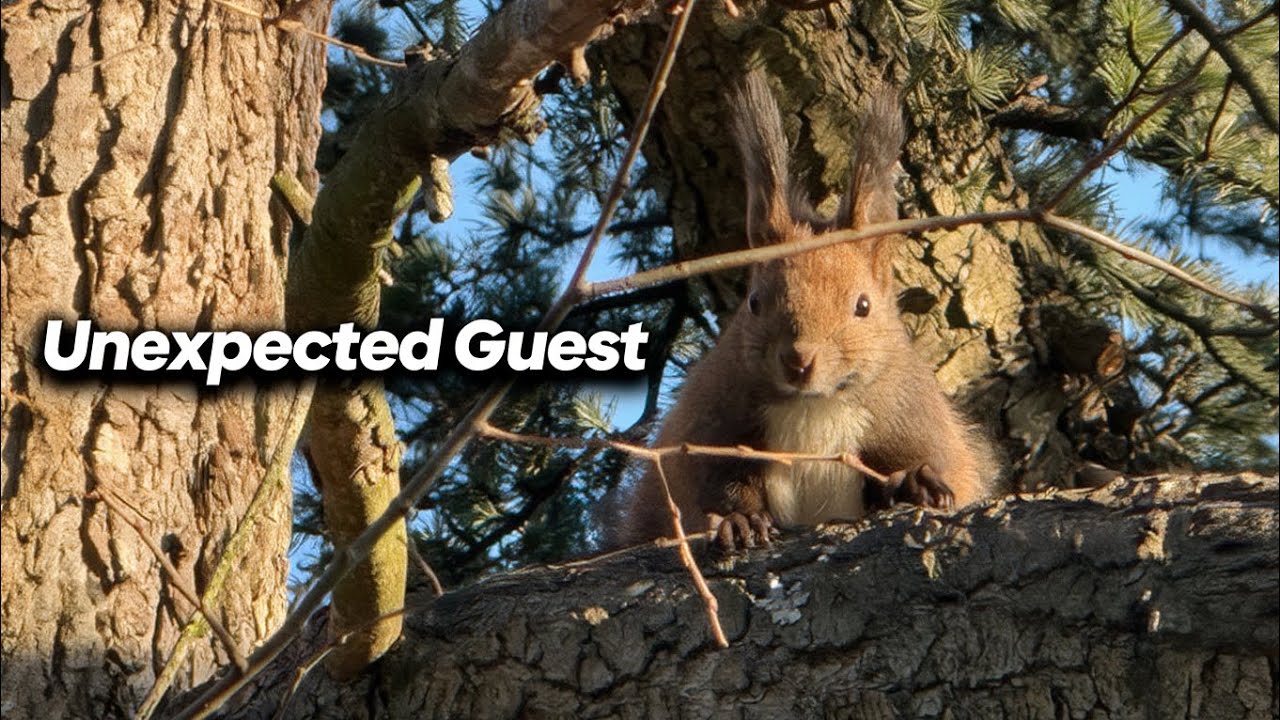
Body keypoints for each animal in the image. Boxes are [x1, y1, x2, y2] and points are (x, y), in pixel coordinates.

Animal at [616, 73, 998, 551]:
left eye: (863, 306)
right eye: (754, 302)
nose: (798, 360)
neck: (815, 407)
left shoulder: (913, 417)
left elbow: (935, 464)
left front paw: (915, 481)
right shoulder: (710, 426)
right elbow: (719, 486)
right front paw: (740, 521)